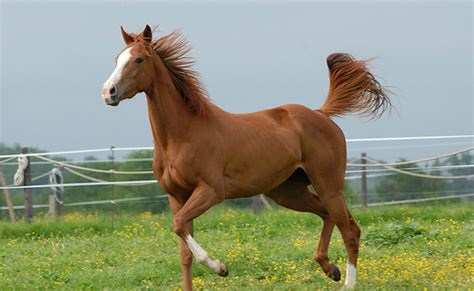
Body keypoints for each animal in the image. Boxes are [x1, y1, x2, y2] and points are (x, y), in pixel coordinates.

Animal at [100, 25, 388, 291]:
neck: (181, 136)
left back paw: (347, 283)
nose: (108, 92)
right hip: (288, 192)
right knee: (329, 216)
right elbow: (184, 250)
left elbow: (180, 225)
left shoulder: (211, 191)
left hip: (328, 184)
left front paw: (220, 267)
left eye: (138, 59)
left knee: (349, 229)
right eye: (117, 58)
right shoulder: (176, 197)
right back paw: (330, 269)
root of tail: (321, 113)